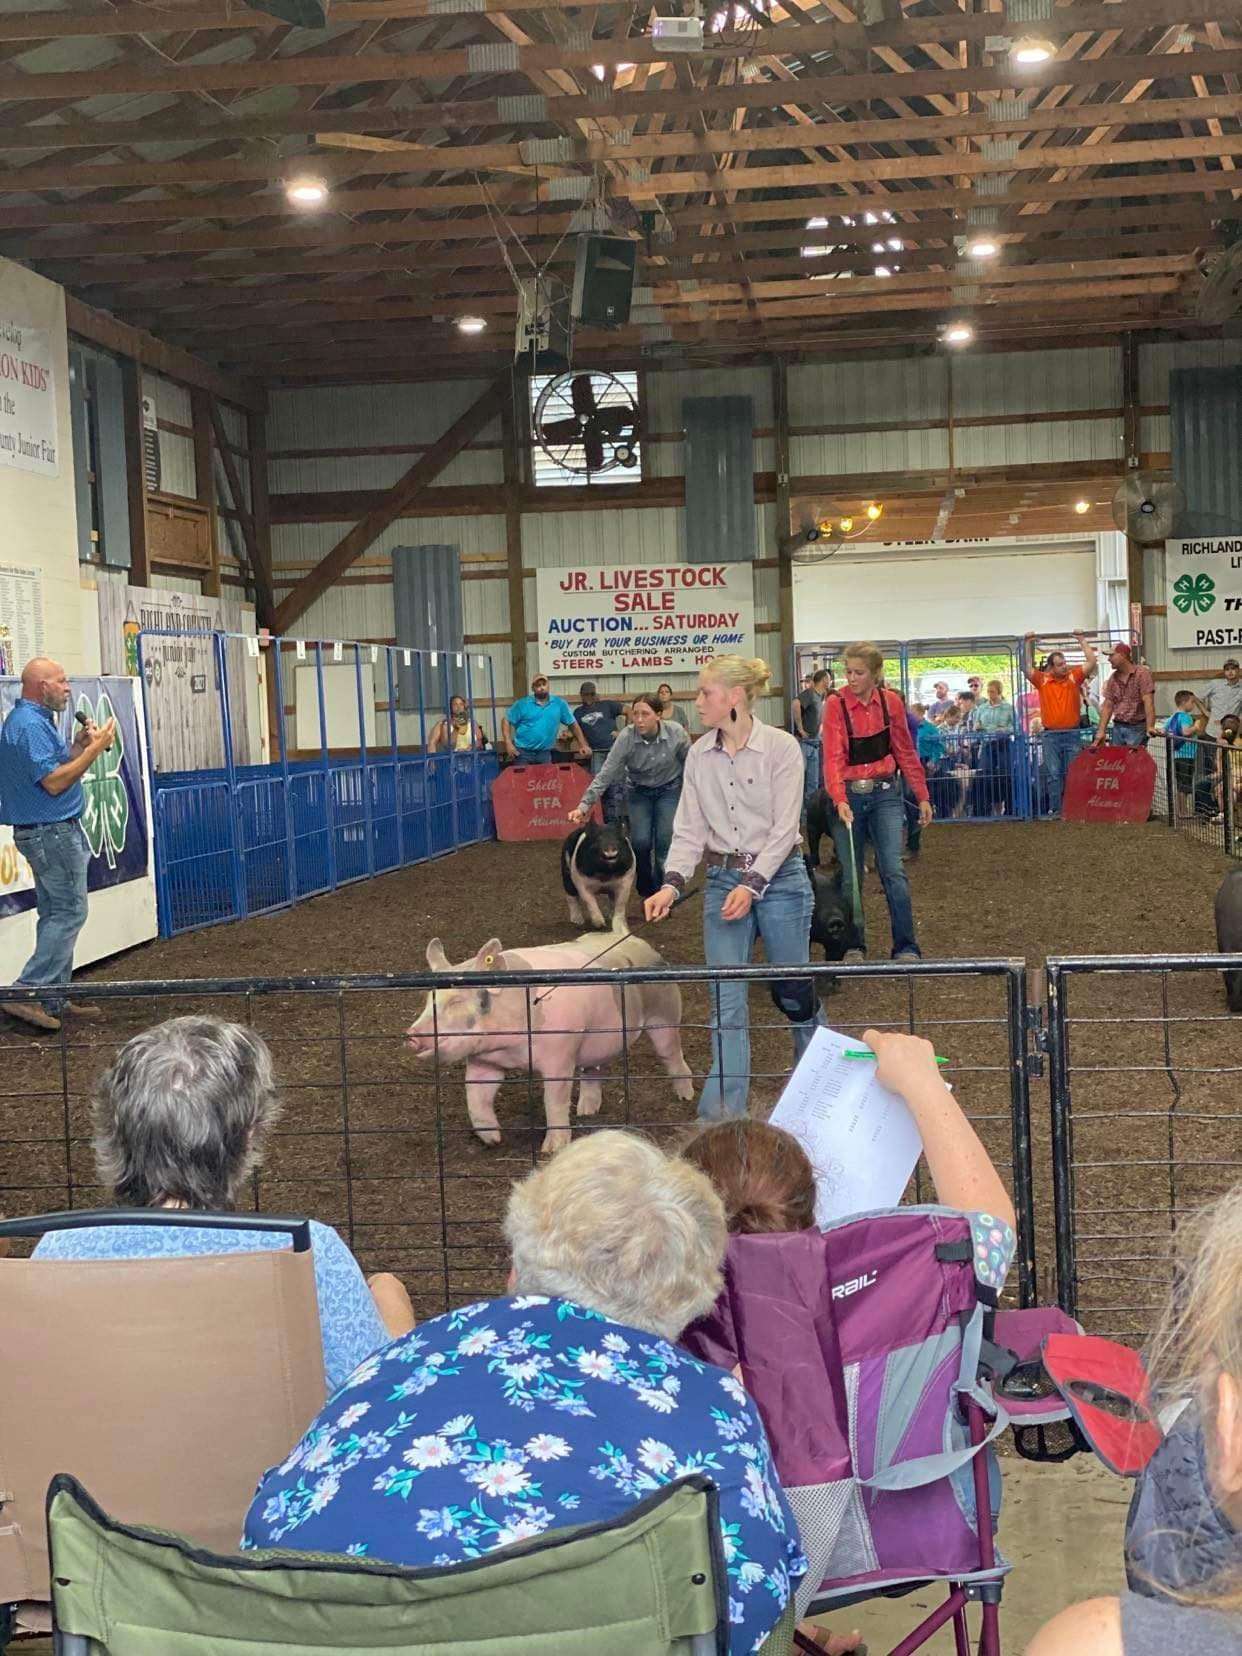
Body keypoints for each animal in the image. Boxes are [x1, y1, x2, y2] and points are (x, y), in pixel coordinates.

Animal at [409, 933, 702, 1152]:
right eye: (428, 1000)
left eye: (456, 1000)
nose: (413, 1036)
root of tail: (636, 940)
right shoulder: (485, 1060)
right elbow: (476, 1095)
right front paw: (494, 1139)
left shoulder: (560, 1055)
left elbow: (554, 1100)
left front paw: (551, 1149)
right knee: (593, 1070)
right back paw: (586, 1112)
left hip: (664, 1016)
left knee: (672, 1054)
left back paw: (686, 1095)